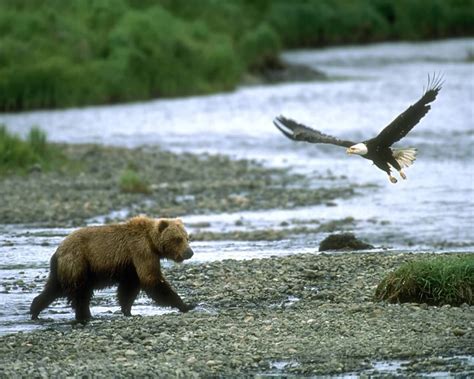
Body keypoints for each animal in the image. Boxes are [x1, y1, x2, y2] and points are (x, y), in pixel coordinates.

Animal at [30, 217, 194, 324]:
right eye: (178, 239)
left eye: (187, 238)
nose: (190, 252)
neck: (152, 242)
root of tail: (58, 250)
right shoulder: (141, 251)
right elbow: (152, 280)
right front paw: (186, 305)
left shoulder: (131, 266)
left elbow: (129, 289)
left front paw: (128, 310)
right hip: (78, 261)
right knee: (80, 292)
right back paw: (84, 315)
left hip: (64, 269)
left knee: (53, 289)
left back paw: (35, 310)